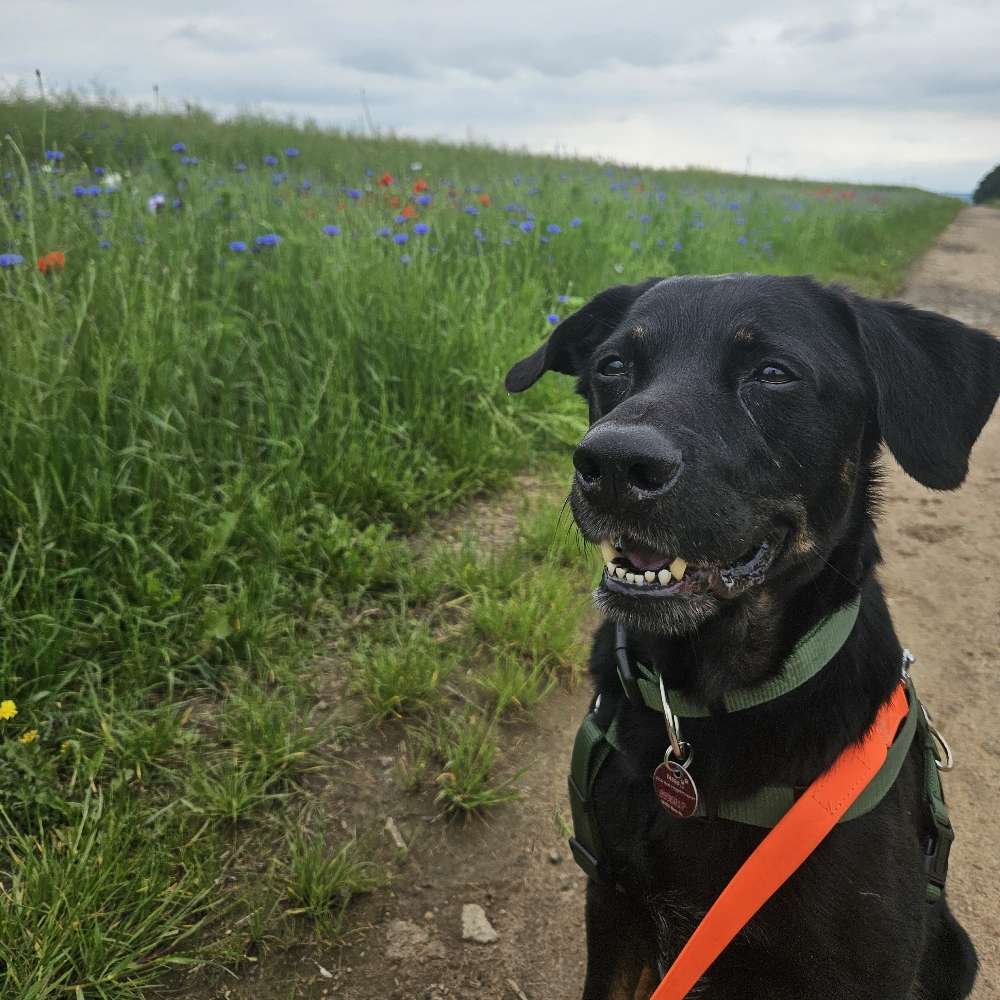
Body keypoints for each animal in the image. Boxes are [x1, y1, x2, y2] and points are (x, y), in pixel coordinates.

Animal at [508, 278, 1000, 1000]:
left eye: (773, 374)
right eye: (612, 365)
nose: (613, 462)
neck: (707, 701)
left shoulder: (860, 971)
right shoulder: (612, 903)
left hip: (954, 951)